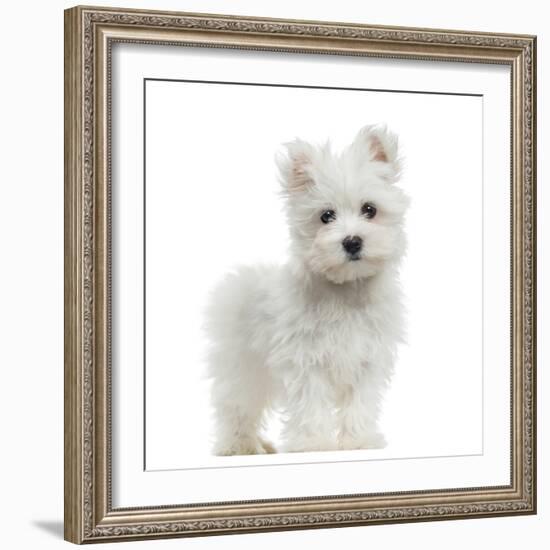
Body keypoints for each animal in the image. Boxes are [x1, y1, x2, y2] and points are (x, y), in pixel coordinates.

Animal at [204, 125, 410, 458]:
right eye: (326, 216)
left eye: (370, 210)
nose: (352, 242)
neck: (345, 290)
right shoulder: (306, 359)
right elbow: (310, 403)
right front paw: (313, 444)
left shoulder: (367, 359)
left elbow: (359, 403)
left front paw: (359, 441)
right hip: (243, 367)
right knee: (236, 406)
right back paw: (239, 446)